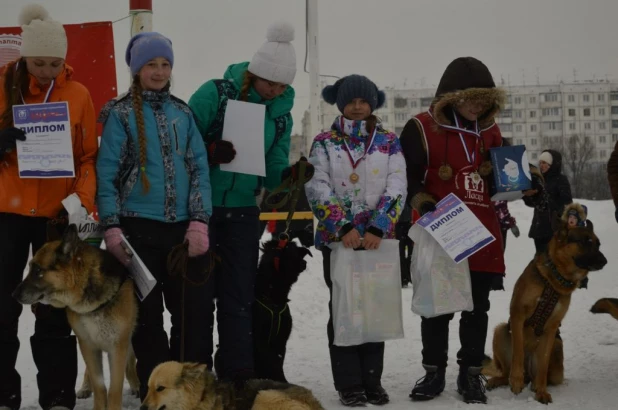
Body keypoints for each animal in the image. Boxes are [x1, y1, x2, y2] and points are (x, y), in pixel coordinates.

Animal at [482, 215, 608, 404]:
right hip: (501, 330)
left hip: (557, 346)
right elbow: (518, 351)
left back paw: (534, 384)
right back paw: (502, 380)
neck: (554, 278)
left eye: (598, 244)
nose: (604, 261)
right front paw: (517, 380)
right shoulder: (518, 314)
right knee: (506, 372)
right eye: (584, 242)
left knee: (542, 375)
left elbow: (543, 365)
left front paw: (541, 391)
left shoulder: (551, 329)